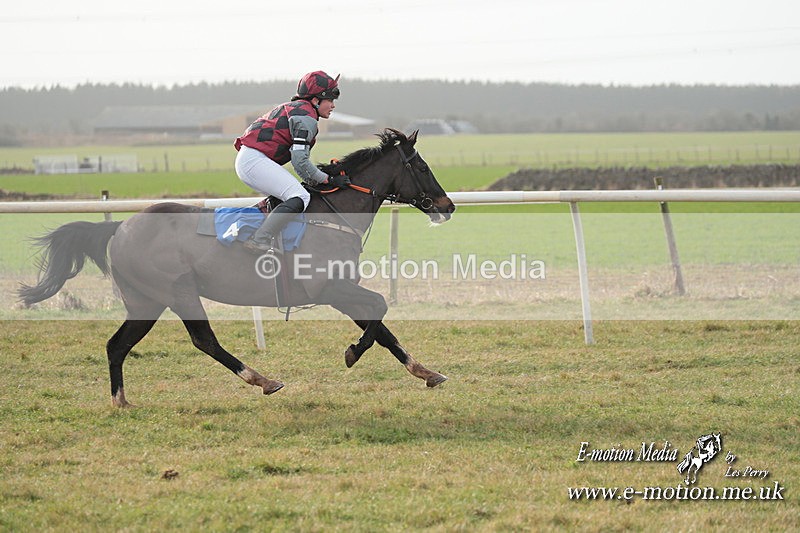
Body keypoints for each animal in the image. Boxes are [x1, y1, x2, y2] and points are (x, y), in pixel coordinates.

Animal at [19, 128, 456, 407]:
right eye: (422, 168)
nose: (448, 205)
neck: (334, 212)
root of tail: (120, 226)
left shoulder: (341, 289)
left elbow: (381, 327)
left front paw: (426, 372)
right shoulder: (328, 289)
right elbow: (379, 310)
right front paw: (351, 353)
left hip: (146, 301)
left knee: (117, 345)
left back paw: (120, 401)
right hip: (176, 291)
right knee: (203, 341)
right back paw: (262, 379)